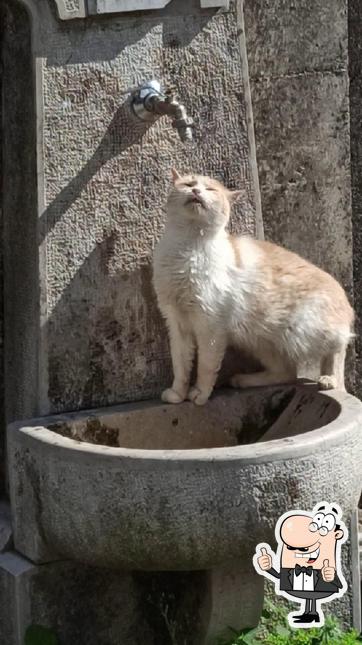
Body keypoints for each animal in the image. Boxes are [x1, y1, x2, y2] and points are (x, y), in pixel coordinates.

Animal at [153, 169, 354, 406]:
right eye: (189, 184)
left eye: (210, 189)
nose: (196, 191)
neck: (186, 245)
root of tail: (344, 298)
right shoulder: (177, 324)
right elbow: (181, 365)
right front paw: (177, 394)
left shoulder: (210, 327)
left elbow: (205, 367)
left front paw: (200, 395)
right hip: (259, 339)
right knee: (287, 372)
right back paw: (242, 380)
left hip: (303, 329)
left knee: (339, 345)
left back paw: (329, 379)